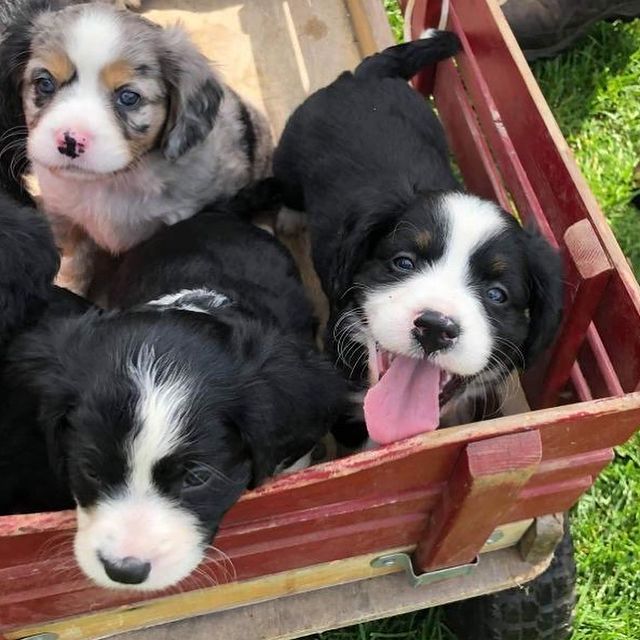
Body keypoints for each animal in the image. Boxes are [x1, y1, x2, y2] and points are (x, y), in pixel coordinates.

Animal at [1, 1, 270, 292]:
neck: (111, 182)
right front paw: (69, 287)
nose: (70, 141)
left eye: (129, 97)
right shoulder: (63, 215)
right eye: (45, 83)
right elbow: (75, 260)